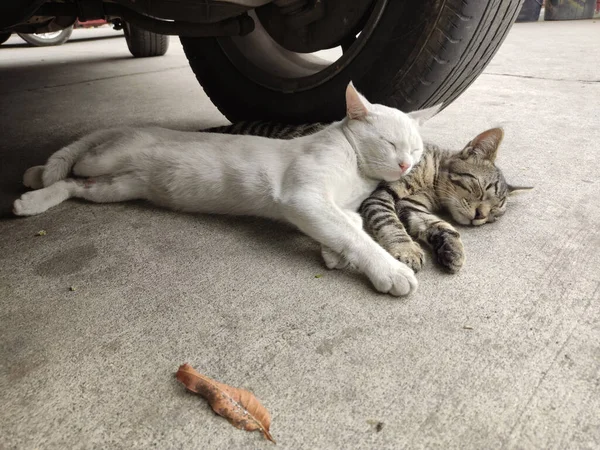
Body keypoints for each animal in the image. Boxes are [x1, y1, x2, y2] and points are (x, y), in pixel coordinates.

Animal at [12, 83, 436, 298]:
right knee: (75, 160)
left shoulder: (331, 206)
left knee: (73, 185)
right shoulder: (304, 197)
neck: (357, 173)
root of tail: (134, 127)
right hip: (105, 159)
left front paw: (332, 253)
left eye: (415, 149)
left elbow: (349, 224)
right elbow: (354, 234)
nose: (406, 165)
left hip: (115, 187)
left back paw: (34, 200)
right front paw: (388, 269)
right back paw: (34, 179)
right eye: (389, 143)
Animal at [203, 121, 528, 272]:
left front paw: (452, 249)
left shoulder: (412, 206)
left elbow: (439, 225)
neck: (431, 179)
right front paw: (406, 249)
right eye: (481, 189)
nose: (480, 217)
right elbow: (391, 225)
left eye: (496, 213)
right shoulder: (380, 197)